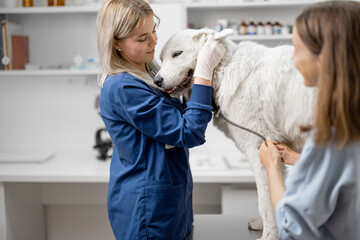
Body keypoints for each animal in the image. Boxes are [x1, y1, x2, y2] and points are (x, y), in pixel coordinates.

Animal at [153, 29, 316, 239]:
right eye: (162, 58)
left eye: (177, 54)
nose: (157, 81)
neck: (224, 69)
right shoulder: (275, 153)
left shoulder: (260, 150)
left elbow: (264, 201)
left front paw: (269, 235)